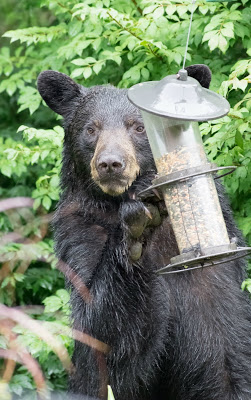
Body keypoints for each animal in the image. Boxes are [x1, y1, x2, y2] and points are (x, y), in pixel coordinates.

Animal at [36, 65, 251, 400]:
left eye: (137, 127)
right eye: (91, 129)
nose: (111, 163)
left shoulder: (213, 284)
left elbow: (225, 358)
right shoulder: (81, 233)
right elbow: (107, 339)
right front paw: (136, 230)